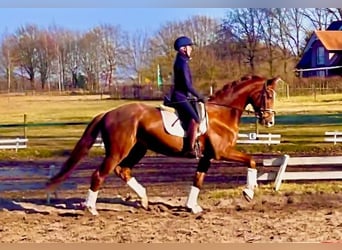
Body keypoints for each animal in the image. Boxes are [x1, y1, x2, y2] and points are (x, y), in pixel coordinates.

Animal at [46, 74, 280, 215]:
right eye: (268, 94)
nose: (269, 121)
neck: (222, 113)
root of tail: (108, 113)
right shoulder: (222, 152)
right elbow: (251, 161)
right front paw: (248, 193)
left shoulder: (206, 156)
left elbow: (198, 179)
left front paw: (192, 207)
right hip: (118, 151)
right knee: (100, 174)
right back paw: (91, 208)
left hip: (138, 148)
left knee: (123, 170)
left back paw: (144, 200)